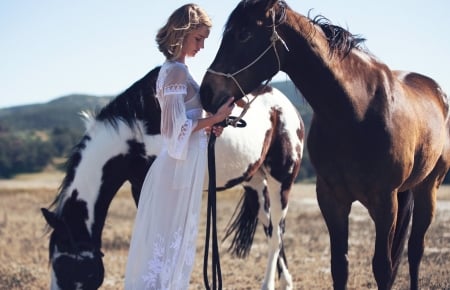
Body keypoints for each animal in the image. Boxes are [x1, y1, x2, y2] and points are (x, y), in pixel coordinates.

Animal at [41, 66, 306, 290]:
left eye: (63, 266)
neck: (137, 133)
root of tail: (287, 107)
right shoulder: (140, 187)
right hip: (254, 184)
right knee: (272, 229)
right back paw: (285, 281)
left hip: (281, 180)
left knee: (278, 231)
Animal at [200, 1, 450, 288]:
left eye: (244, 34)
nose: (206, 92)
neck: (355, 114)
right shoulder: (332, 199)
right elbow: (339, 266)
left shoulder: (385, 202)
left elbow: (383, 268)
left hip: (427, 188)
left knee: (416, 249)